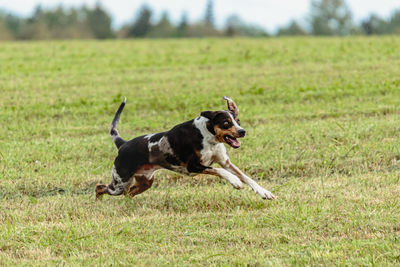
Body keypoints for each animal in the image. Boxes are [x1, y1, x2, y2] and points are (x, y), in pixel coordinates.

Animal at [96, 98, 276, 201]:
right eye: (226, 123)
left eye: (238, 121)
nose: (242, 131)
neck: (208, 136)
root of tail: (123, 144)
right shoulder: (193, 166)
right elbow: (221, 171)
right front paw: (234, 182)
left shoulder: (225, 162)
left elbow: (247, 177)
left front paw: (264, 192)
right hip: (119, 183)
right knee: (100, 187)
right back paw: (98, 202)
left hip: (145, 182)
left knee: (128, 193)